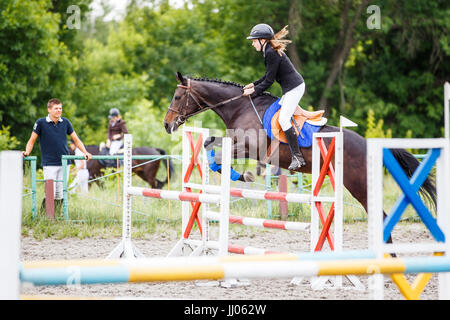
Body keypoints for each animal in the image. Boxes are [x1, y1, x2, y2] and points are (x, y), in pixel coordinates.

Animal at [164, 72, 436, 242]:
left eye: (177, 97)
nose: (167, 125)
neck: (239, 106)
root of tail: (367, 144)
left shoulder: (250, 147)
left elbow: (219, 156)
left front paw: (245, 175)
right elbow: (210, 145)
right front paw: (241, 175)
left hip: (359, 185)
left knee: (381, 217)